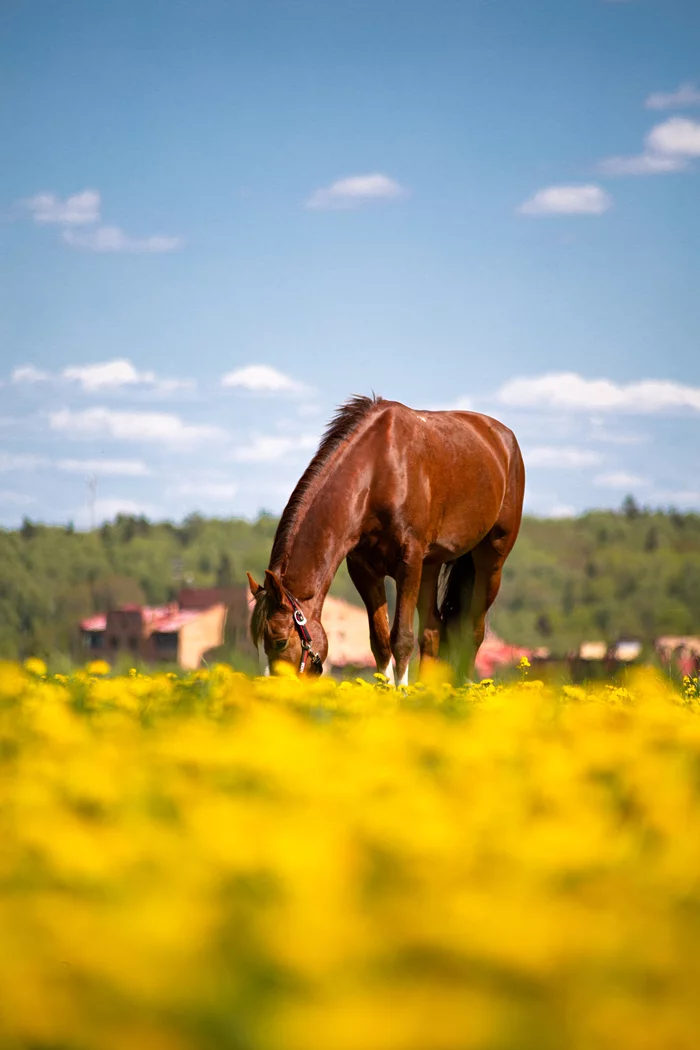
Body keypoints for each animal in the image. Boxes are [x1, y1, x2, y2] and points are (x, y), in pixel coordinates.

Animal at [247, 396, 524, 684]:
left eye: (279, 641)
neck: (378, 472)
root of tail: (504, 439)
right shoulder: (364, 569)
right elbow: (379, 642)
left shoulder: (409, 562)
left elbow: (401, 639)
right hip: (430, 566)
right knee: (432, 630)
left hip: (490, 563)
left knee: (473, 631)